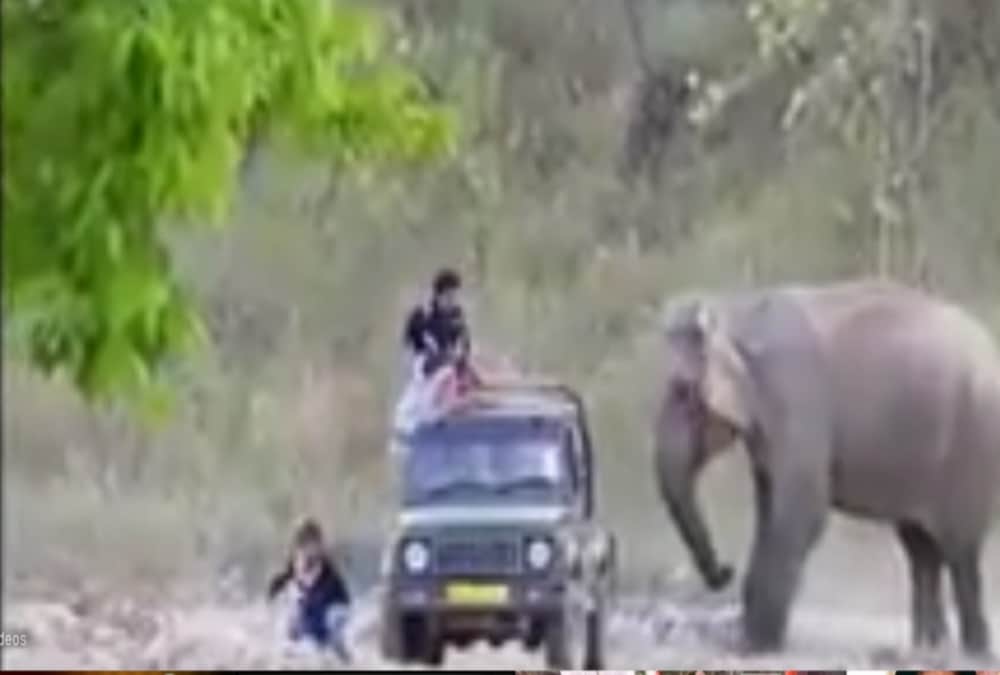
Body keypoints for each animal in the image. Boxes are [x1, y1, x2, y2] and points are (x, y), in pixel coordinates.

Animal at [653, 279, 1000, 654]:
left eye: (683, 392)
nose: (724, 571)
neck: (737, 309)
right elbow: (769, 510)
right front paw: (749, 640)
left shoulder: (795, 396)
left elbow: (801, 512)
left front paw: (754, 646)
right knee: (920, 550)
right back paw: (927, 648)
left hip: (974, 445)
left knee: (960, 551)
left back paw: (973, 652)